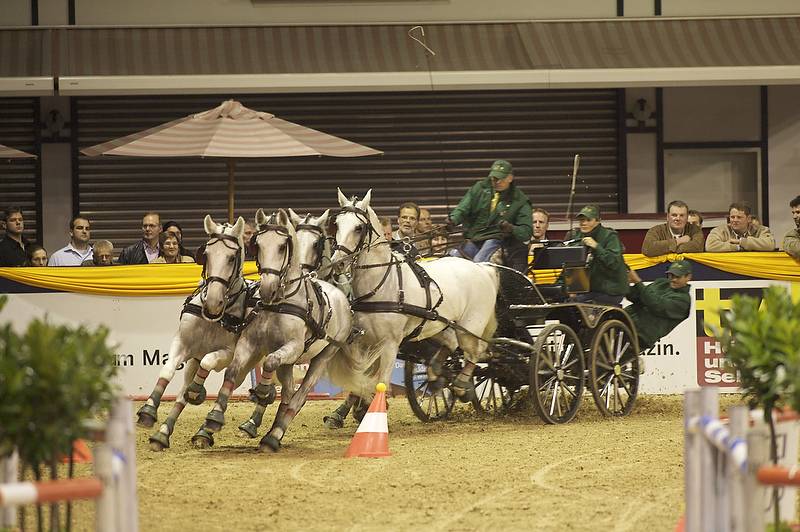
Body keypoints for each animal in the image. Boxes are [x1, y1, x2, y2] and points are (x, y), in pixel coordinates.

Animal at [136, 215, 267, 451]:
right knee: (182, 394)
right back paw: (166, 434)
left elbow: (206, 365)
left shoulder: (227, 354)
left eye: (232, 258)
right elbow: (168, 372)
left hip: (247, 364)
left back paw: (217, 428)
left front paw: (198, 391)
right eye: (206, 254)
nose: (213, 302)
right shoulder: (183, 344)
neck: (213, 318)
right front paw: (148, 412)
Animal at [195, 208, 374, 452]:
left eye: (282, 246)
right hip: (290, 362)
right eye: (258, 245)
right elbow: (232, 372)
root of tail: (341, 298)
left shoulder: (294, 346)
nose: (267, 289)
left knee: (300, 395)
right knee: (289, 390)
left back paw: (274, 434)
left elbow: (270, 363)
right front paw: (213, 419)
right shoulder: (249, 342)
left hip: (323, 356)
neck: (279, 302)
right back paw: (272, 431)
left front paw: (262, 392)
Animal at [327, 189, 500, 408]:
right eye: (337, 224)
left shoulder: (390, 344)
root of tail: (482, 268)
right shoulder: (364, 341)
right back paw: (435, 374)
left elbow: (381, 382)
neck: (384, 282)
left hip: (470, 327)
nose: (337, 264)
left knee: (475, 351)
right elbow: (360, 376)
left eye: (359, 228)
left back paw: (461, 386)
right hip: (438, 325)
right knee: (451, 344)